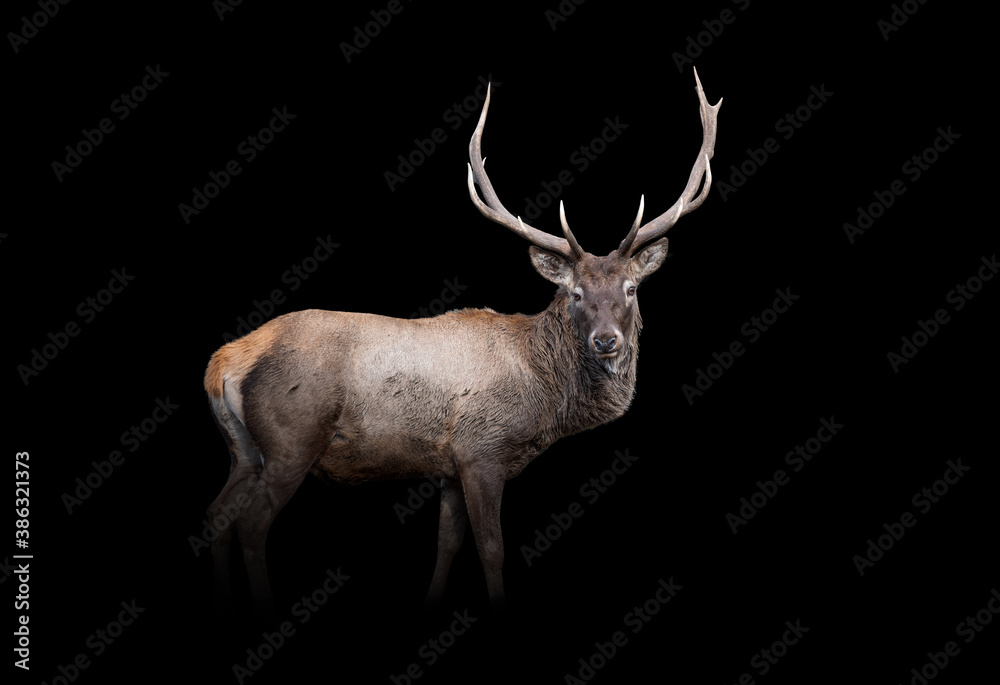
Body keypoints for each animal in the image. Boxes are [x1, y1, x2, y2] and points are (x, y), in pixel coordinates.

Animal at [203, 69, 721, 614]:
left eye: (631, 289)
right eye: (575, 293)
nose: (606, 342)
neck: (545, 398)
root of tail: (224, 362)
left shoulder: (449, 465)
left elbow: (447, 544)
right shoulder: (482, 452)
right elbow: (491, 549)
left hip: (243, 449)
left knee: (217, 513)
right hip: (291, 440)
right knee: (252, 523)